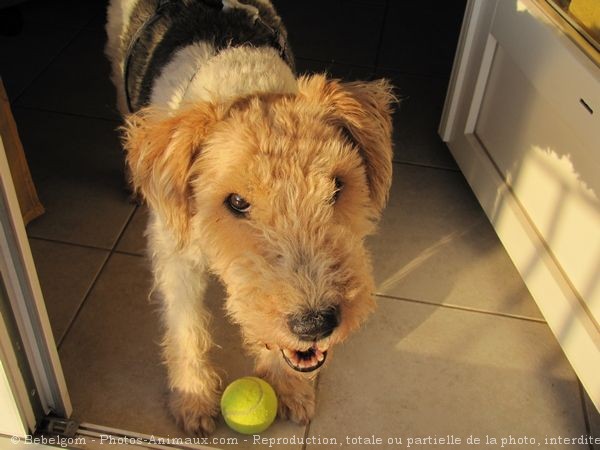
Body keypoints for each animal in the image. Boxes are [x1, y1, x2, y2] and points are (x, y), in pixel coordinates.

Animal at [105, 0, 396, 436]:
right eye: (237, 201)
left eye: (336, 186)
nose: (315, 325)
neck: (244, 81)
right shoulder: (175, 256)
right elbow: (187, 326)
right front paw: (193, 400)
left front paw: (289, 386)